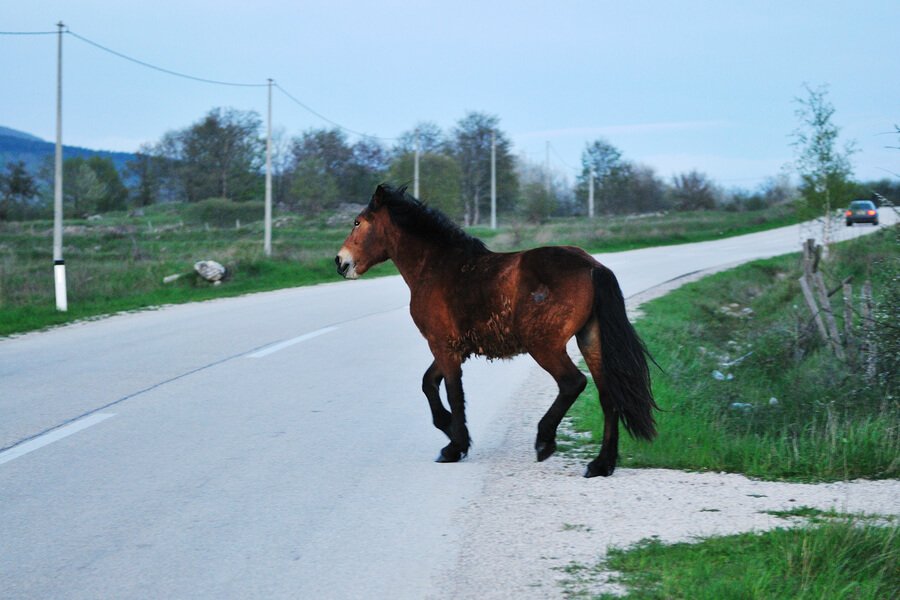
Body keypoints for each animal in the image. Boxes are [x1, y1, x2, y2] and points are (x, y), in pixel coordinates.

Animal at [334, 185, 656, 476]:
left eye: (358, 222)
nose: (340, 261)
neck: (437, 267)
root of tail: (592, 266)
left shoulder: (442, 345)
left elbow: (452, 393)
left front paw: (455, 446)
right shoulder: (453, 348)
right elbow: (429, 384)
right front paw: (449, 430)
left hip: (544, 346)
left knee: (572, 383)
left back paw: (545, 441)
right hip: (590, 340)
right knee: (607, 396)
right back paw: (601, 465)